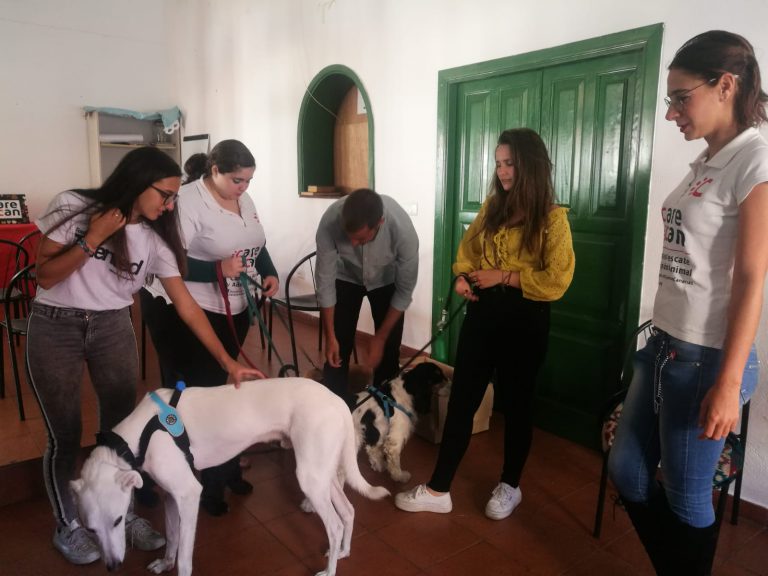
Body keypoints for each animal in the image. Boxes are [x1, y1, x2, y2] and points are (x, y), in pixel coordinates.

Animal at [70, 378, 390, 576]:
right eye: (91, 530)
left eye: (118, 521)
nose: (112, 566)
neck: (137, 436)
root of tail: (337, 400)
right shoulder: (172, 497)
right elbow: (172, 536)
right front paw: (164, 563)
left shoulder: (189, 494)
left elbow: (185, 558)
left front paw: (177, 566)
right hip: (323, 475)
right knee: (348, 512)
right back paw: (344, 552)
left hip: (311, 477)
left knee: (334, 525)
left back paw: (330, 569)